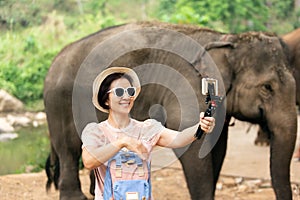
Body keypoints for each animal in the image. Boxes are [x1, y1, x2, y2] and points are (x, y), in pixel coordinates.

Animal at [44, 21, 298, 199]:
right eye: (267, 88)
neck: (224, 39)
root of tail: (54, 60)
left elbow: (217, 147)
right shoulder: (186, 87)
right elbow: (193, 150)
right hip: (59, 103)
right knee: (69, 148)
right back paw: (76, 197)